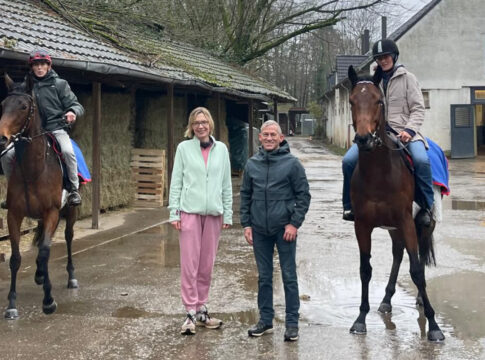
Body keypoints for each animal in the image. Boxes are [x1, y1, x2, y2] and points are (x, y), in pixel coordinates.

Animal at [0, 74, 78, 320]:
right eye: (3, 105)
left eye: (23, 106)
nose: (2, 139)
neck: (33, 169)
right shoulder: (14, 215)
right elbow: (15, 258)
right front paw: (11, 305)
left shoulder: (51, 212)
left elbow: (45, 252)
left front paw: (48, 301)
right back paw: (39, 275)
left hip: (70, 212)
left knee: (68, 237)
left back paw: (71, 278)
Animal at [346, 66, 444, 342]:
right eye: (352, 101)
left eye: (379, 101)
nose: (364, 139)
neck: (379, 173)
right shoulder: (362, 225)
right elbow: (365, 269)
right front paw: (360, 319)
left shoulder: (406, 221)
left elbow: (417, 270)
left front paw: (434, 325)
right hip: (394, 229)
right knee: (398, 254)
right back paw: (387, 300)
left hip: (424, 224)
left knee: (419, 256)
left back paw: (421, 299)